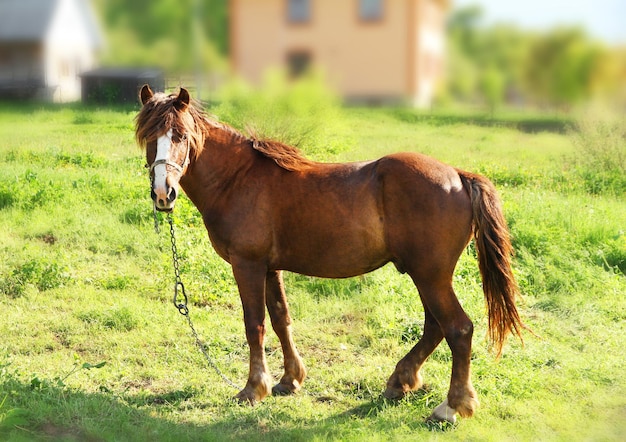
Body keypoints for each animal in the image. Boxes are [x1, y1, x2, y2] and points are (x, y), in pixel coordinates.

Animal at [134, 84, 524, 424]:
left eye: (181, 136)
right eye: (150, 137)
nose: (163, 194)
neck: (238, 179)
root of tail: (458, 175)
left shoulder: (248, 265)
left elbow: (254, 324)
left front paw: (252, 388)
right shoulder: (270, 268)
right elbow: (281, 319)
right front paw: (289, 379)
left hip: (430, 275)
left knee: (457, 329)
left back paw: (450, 407)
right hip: (428, 275)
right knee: (434, 327)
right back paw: (401, 381)